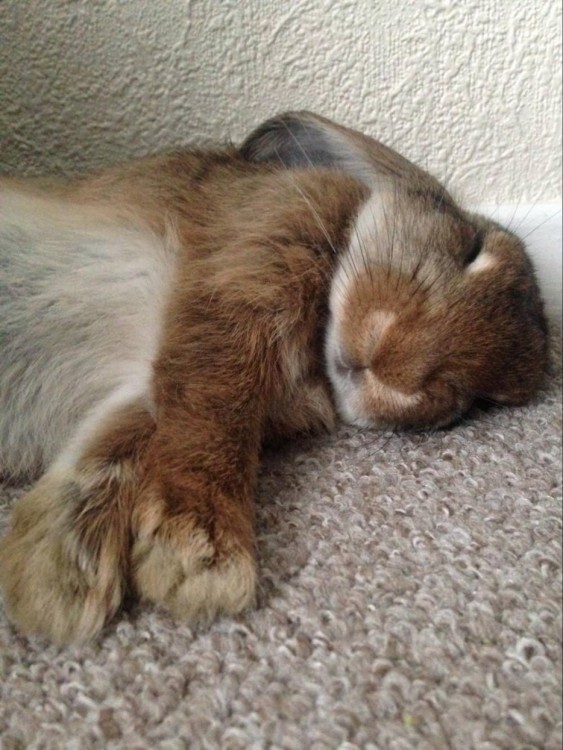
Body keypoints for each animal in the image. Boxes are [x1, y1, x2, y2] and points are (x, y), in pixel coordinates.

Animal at [0, 111, 548, 648]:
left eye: (480, 401)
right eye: (471, 246)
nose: (399, 372)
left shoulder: (142, 389)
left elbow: (119, 443)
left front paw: (56, 584)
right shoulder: (251, 267)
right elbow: (216, 403)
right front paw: (201, 558)